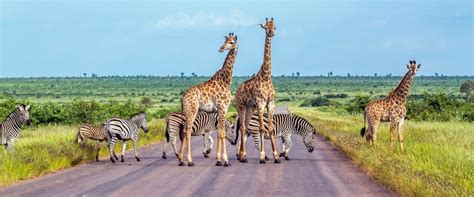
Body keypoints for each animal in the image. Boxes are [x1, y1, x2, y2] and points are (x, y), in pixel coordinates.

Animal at [178, 32, 237, 166]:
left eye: (231, 42)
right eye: (225, 41)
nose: (221, 49)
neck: (226, 80)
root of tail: (183, 97)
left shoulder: (220, 110)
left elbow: (220, 133)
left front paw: (219, 159)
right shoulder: (223, 108)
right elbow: (222, 133)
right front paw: (225, 160)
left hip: (186, 111)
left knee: (183, 131)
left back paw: (181, 160)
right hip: (192, 111)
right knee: (187, 132)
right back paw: (190, 161)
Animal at [234, 18, 280, 163]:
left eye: (274, 27)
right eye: (265, 27)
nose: (271, 33)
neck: (266, 75)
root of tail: (237, 90)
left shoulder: (270, 103)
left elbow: (270, 129)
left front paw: (276, 156)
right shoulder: (260, 103)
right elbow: (261, 129)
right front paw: (262, 156)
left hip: (250, 107)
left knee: (245, 125)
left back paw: (242, 155)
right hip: (241, 105)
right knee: (242, 127)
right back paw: (242, 155)